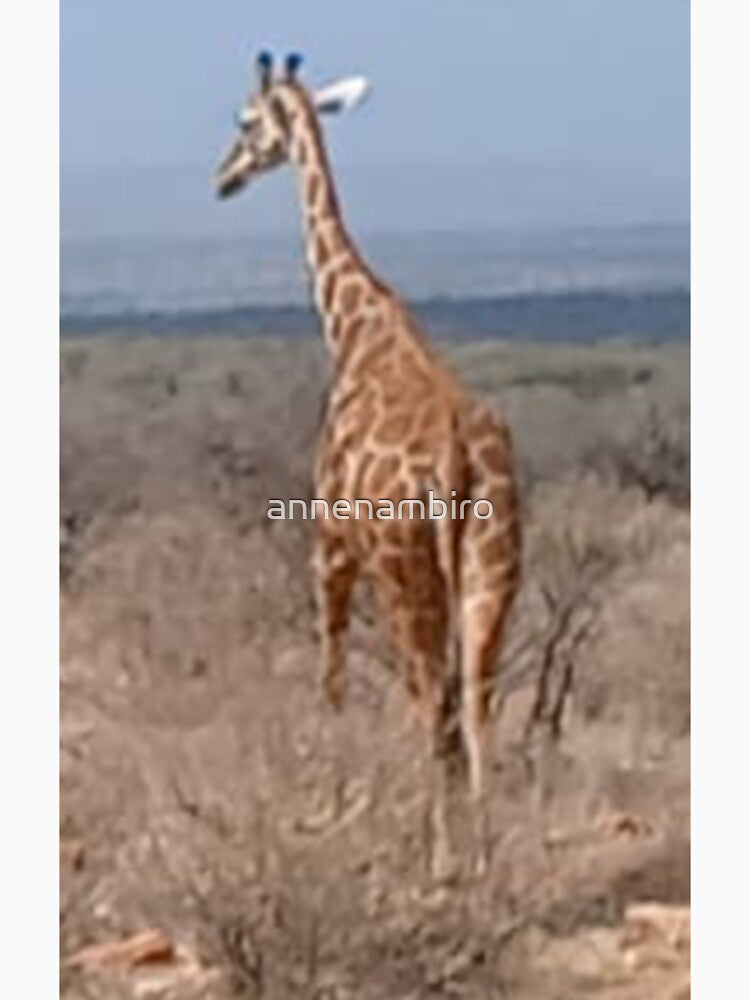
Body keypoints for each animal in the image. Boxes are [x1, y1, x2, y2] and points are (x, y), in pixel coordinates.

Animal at [216, 52, 521, 844]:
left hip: (403, 574)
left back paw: (436, 852)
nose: (223, 176)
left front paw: (328, 803)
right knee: (476, 703)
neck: (353, 329)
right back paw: (484, 852)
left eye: (246, 122)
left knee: (429, 703)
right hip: (491, 571)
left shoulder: (328, 544)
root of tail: (456, 463)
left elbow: (331, 681)